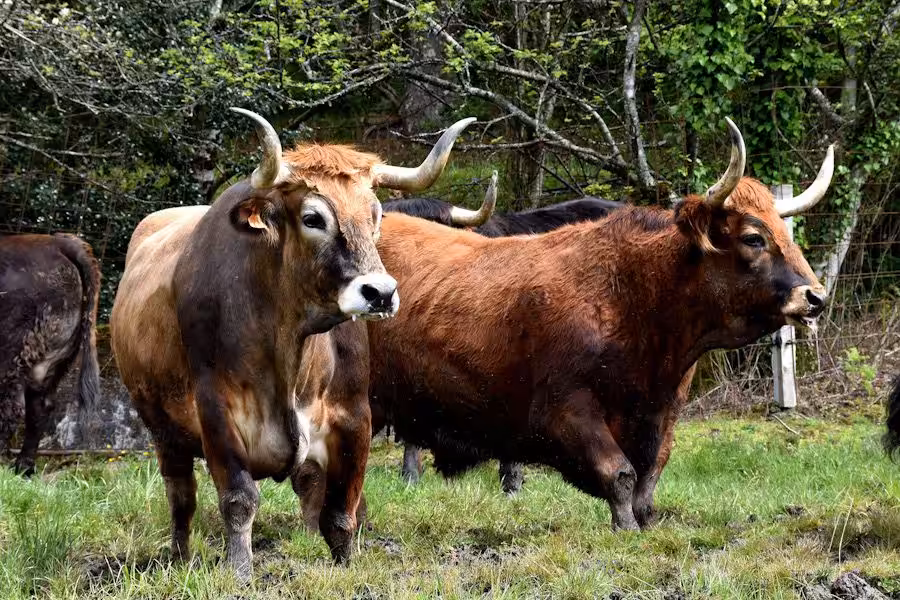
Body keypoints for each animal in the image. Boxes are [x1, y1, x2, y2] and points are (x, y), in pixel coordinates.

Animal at [110, 109, 475, 581]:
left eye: (375, 214)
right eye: (313, 218)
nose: (380, 293)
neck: (290, 350)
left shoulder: (354, 418)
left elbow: (340, 511)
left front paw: (346, 567)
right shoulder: (216, 413)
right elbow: (239, 500)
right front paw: (240, 572)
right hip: (162, 428)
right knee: (181, 497)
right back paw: (180, 556)